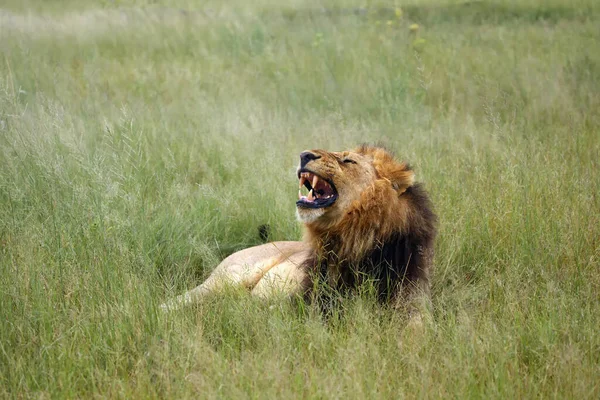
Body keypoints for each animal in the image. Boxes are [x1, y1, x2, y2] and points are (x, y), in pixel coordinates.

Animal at [162, 145, 438, 318]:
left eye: (348, 160)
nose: (305, 154)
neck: (353, 240)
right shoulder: (305, 300)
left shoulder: (412, 305)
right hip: (226, 279)